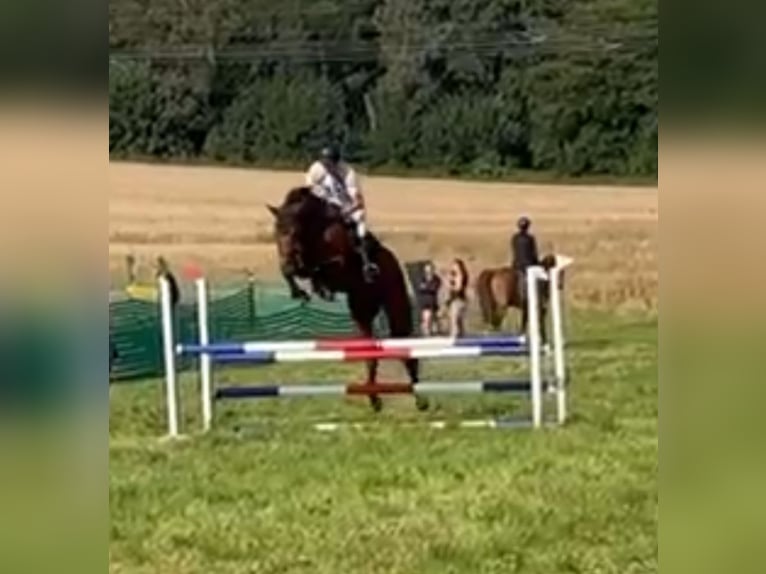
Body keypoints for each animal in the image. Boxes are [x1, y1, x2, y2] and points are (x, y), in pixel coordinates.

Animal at [266, 186, 427, 412]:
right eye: (276, 233)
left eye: (293, 231)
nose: (288, 261)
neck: (317, 231)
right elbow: (295, 272)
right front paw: (300, 291)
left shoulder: (338, 265)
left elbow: (319, 269)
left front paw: (317, 287)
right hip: (361, 311)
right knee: (371, 354)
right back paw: (374, 400)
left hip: (394, 304)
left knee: (404, 347)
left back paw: (420, 398)